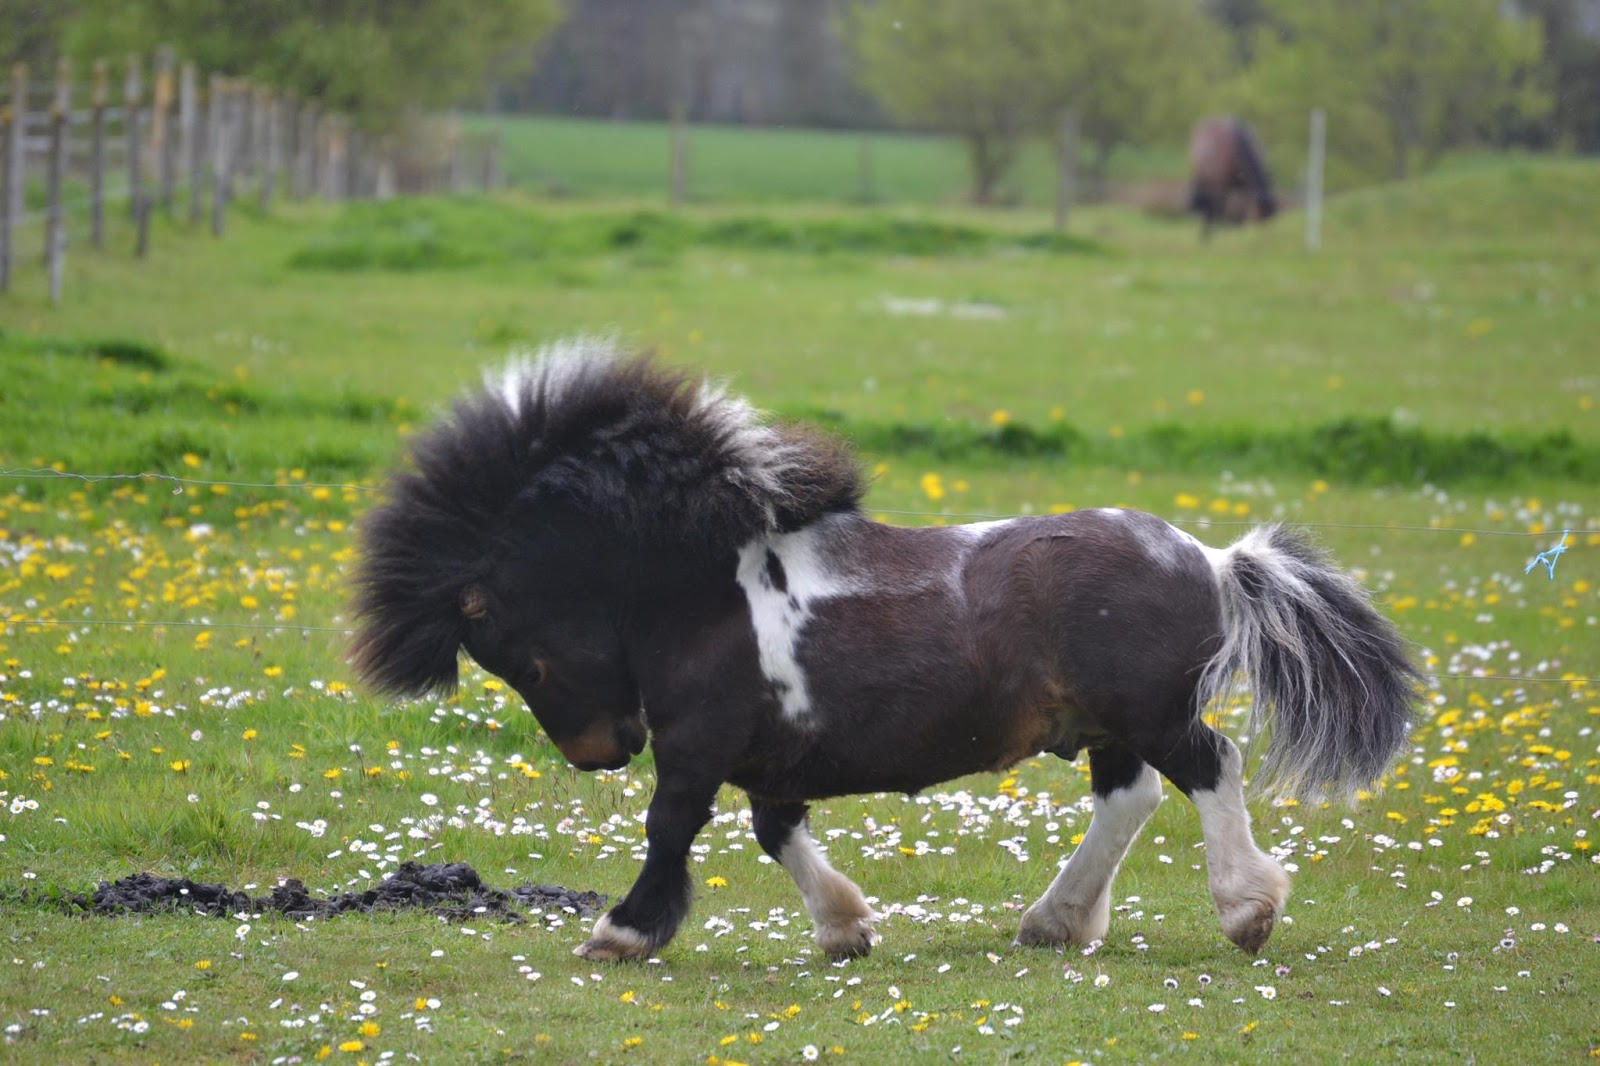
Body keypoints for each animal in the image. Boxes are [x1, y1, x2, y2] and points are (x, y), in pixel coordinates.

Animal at [350, 342, 1414, 960]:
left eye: (520, 658)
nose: (602, 751)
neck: (698, 587)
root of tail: (1214, 559)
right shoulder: (766, 756)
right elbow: (775, 831)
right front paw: (846, 928)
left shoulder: (697, 745)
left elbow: (671, 827)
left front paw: (622, 931)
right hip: (1109, 724)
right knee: (1132, 798)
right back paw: (1054, 923)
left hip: (1151, 711)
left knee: (1210, 769)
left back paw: (1246, 912)